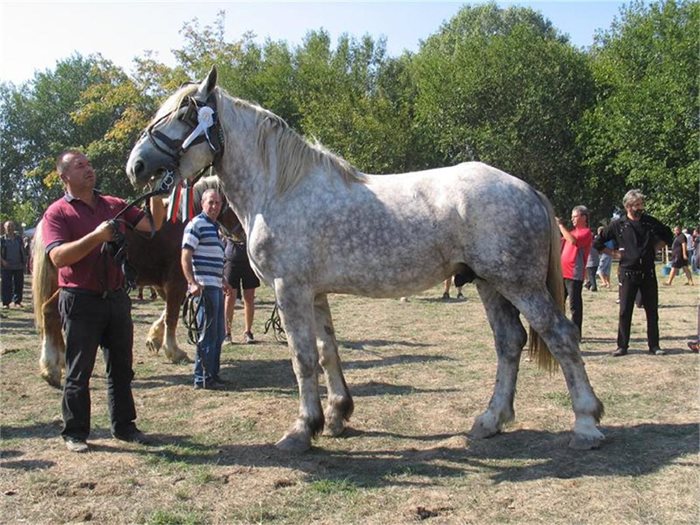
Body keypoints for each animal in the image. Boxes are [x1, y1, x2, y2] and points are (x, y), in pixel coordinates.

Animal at [124, 66, 600, 450]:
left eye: (185, 114)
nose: (136, 166)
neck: (280, 189)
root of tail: (528, 190)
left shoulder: (289, 289)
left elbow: (302, 358)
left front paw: (302, 429)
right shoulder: (313, 293)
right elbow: (327, 351)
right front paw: (337, 415)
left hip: (519, 284)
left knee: (560, 336)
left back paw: (586, 424)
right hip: (489, 283)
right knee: (509, 343)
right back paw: (490, 420)